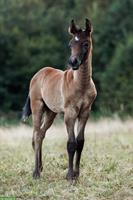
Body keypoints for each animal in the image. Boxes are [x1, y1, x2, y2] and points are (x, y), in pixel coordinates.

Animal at [21, 18, 96, 180]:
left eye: (85, 44)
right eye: (70, 44)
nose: (73, 62)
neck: (81, 84)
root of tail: (37, 74)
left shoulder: (85, 112)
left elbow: (80, 142)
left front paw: (76, 174)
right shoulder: (70, 113)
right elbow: (71, 143)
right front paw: (70, 176)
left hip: (50, 112)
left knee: (41, 134)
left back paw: (40, 167)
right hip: (37, 108)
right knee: (36, 136)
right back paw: (36, 173)